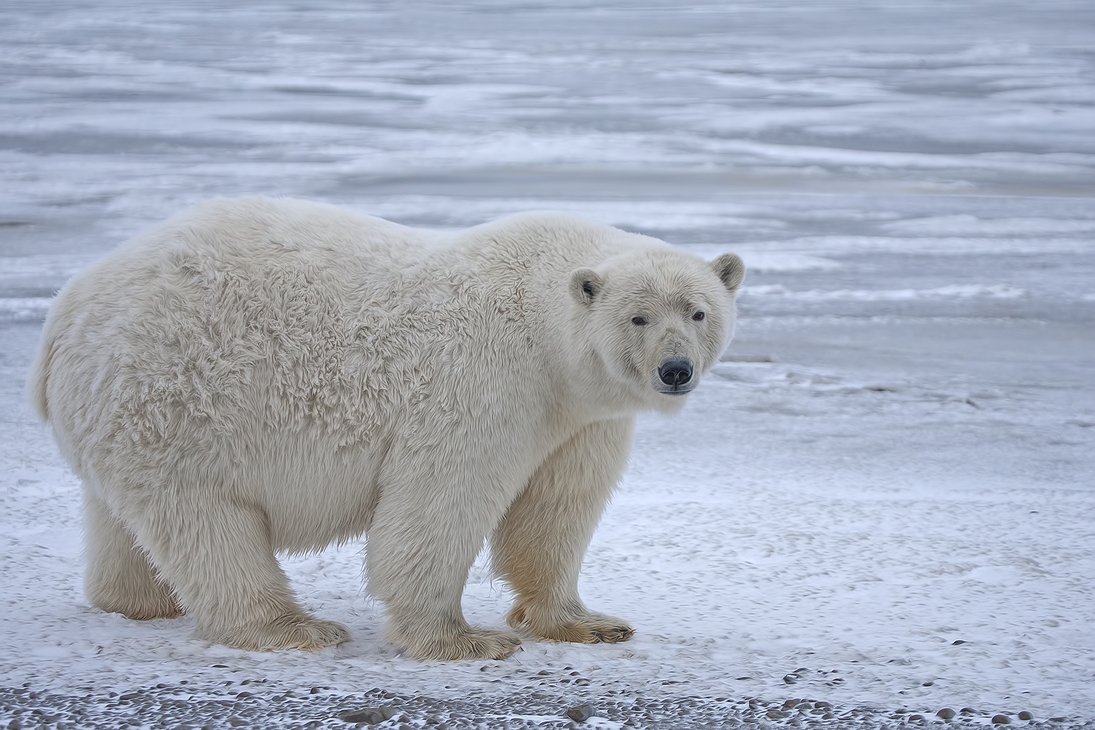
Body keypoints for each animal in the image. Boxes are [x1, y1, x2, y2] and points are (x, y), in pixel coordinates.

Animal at [27, 198, 744, 661]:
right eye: (638, 317)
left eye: (698, 311)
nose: (675, 370)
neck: (544, 328)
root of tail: (62, 316)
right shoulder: (485, 381)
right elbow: (440, 502)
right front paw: (462, 639)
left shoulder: (580, 416)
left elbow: (555, 507)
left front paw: (589, 623)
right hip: (177, 398)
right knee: (208, 521)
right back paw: (293, 627)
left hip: (125, 416)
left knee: (126, 520)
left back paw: (137, 602)